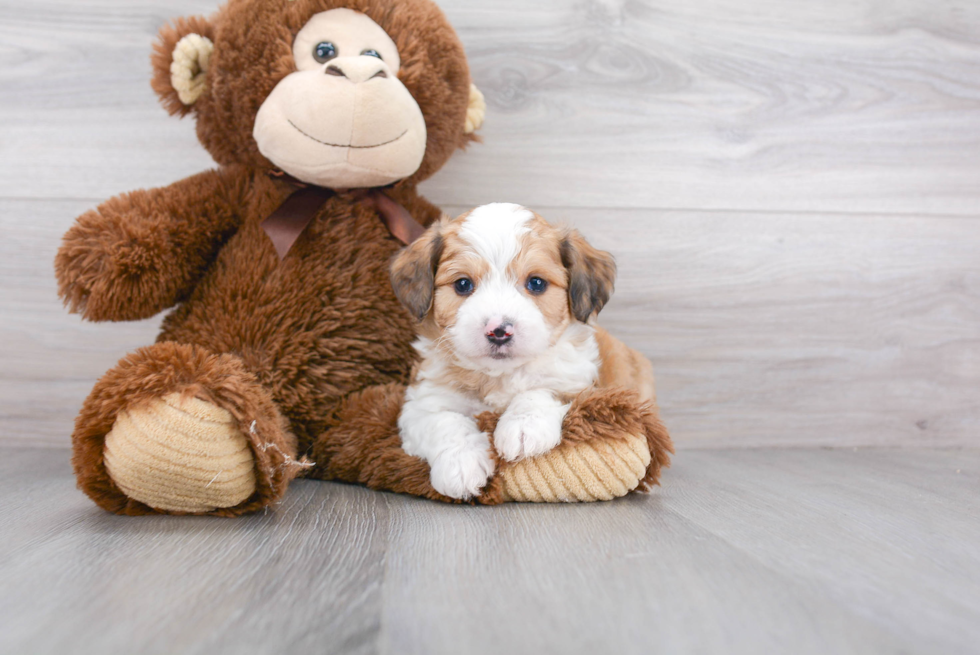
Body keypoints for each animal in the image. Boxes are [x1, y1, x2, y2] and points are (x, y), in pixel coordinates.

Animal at [386, 202, 656, 500]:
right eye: (463, 284)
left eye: (536, 283)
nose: (499, 331)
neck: (498, 375)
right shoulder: (422, 402)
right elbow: (444, 421)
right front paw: (461, 463)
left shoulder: (577, 383)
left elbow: (541, 390)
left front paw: (523, 426)